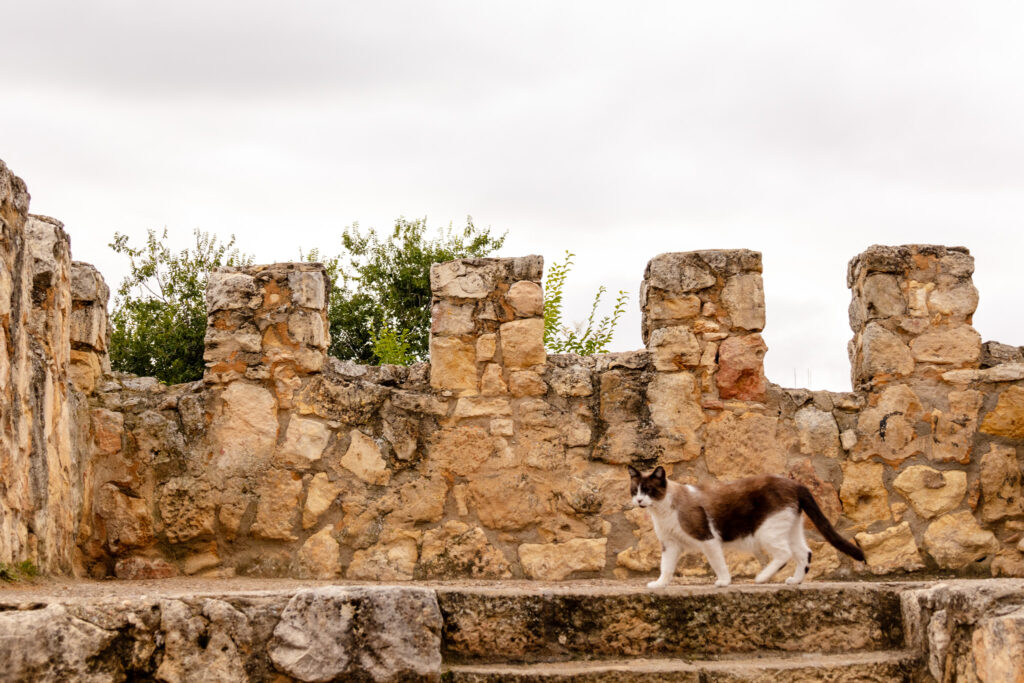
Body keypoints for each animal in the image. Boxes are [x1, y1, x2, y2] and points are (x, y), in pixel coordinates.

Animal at [622, 466, 864, 589]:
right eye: (635, 490)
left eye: (649, 490)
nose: (640, 501)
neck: (661, 512)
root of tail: (796, 484)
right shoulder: (670, 545)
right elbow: (666, 567)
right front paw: (659, 585)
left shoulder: (707, 539)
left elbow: (718, 564)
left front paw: (723, 582)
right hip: (790, 529)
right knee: (805, 553)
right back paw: (795, 581)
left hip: (766, 531)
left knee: (784, 554)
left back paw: (761, 578)